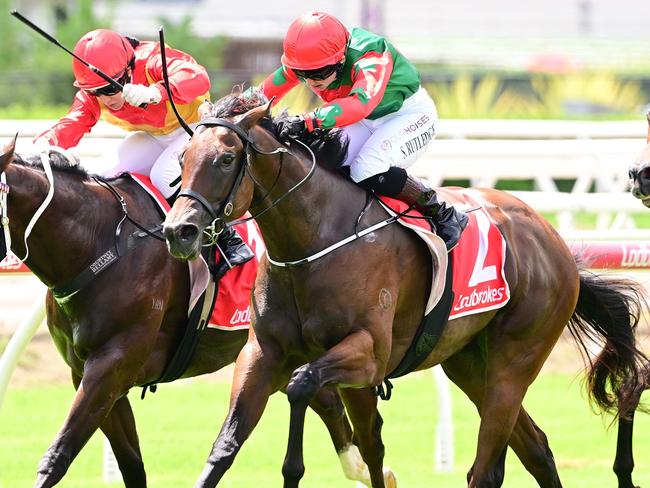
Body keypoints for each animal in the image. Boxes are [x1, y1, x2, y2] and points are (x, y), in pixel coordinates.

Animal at [0, 138, 360, 488]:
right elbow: (132, 466)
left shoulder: (112, 363)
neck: (99, 242)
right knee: (328, 402)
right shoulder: (90, 372)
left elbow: (59, 453)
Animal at [162, 92, 648, 488]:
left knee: (486, 466)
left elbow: (303, 388)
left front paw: (294, 468)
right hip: (469, 361)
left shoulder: (369, 354)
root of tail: (556, 243)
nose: (178, 231)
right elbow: (228, 445)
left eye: (226, 160)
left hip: (515, 360)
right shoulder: (262, 353)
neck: (315, 241)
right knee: (536, 450)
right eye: (183, 158)